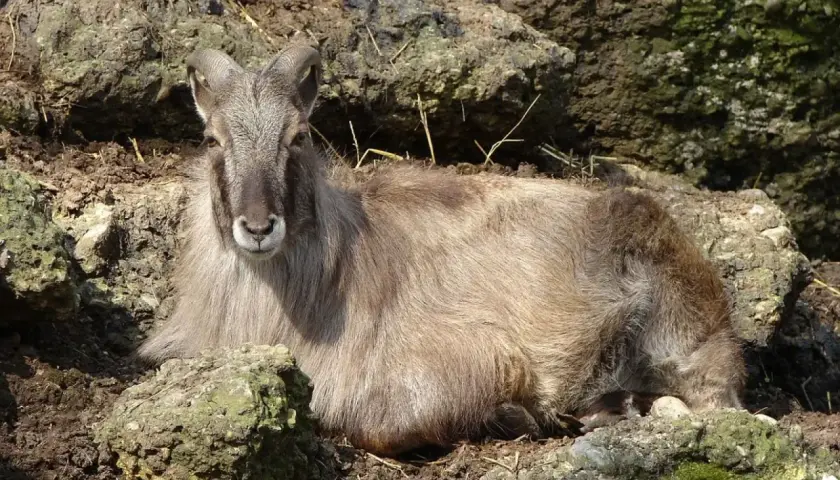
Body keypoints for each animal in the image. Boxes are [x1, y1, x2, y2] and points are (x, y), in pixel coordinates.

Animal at [138, 45, 747, 456]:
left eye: (299, 135)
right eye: (212, 139)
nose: (259, 227)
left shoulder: (468, 359)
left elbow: (381, 426)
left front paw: (517, 414)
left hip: (679, 337)